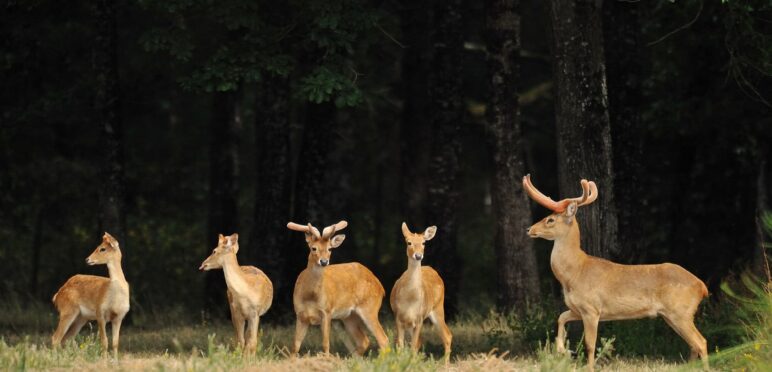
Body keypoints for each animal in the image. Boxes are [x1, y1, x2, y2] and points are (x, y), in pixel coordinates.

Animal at [286, 219, 390, 356]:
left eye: (330, 248)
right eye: (313, 248)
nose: (324, 262)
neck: (310, 295)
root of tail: (380, 286)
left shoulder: (327, 311)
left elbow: (325, 344)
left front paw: (326, 358)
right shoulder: (300, 314)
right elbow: (295, 346)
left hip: (369, 307)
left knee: (383, 338)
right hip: (349, 316)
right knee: (364, 340)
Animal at [390, 222, 450, 358]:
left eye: (423, 243)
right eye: (409, 242)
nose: (418, 255)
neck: (410, 299)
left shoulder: (419, 319)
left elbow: (412, 347)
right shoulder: (398, 317)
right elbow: (400, 346)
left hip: (438, 308)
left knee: (447, 335)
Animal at [520, 175, 708, 372]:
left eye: (550, 220)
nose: (529, 229)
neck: (575, 273)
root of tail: (702, 286)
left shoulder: (592, 309)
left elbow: (590, 344)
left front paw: (588, 367)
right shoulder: (578, 308)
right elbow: (561, 317)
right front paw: (564, 350)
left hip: (680, 312)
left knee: (701, 342)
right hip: (671, 315)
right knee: (693, 345)